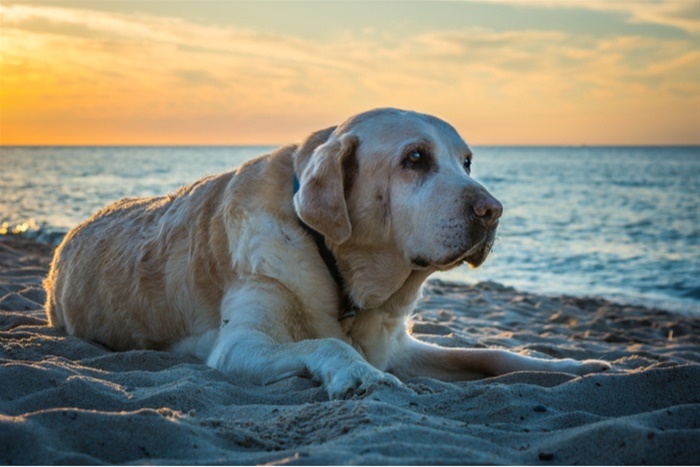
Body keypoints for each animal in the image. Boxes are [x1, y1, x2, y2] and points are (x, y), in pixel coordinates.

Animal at [46, 109, 608, 398]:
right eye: (415, 158)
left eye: (466, 161)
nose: (493, 211)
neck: (338, 269)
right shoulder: (240, 345)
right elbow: (328, 346)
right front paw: (359, 374)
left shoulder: (399, 346)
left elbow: (492, 353)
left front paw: (572, 366)